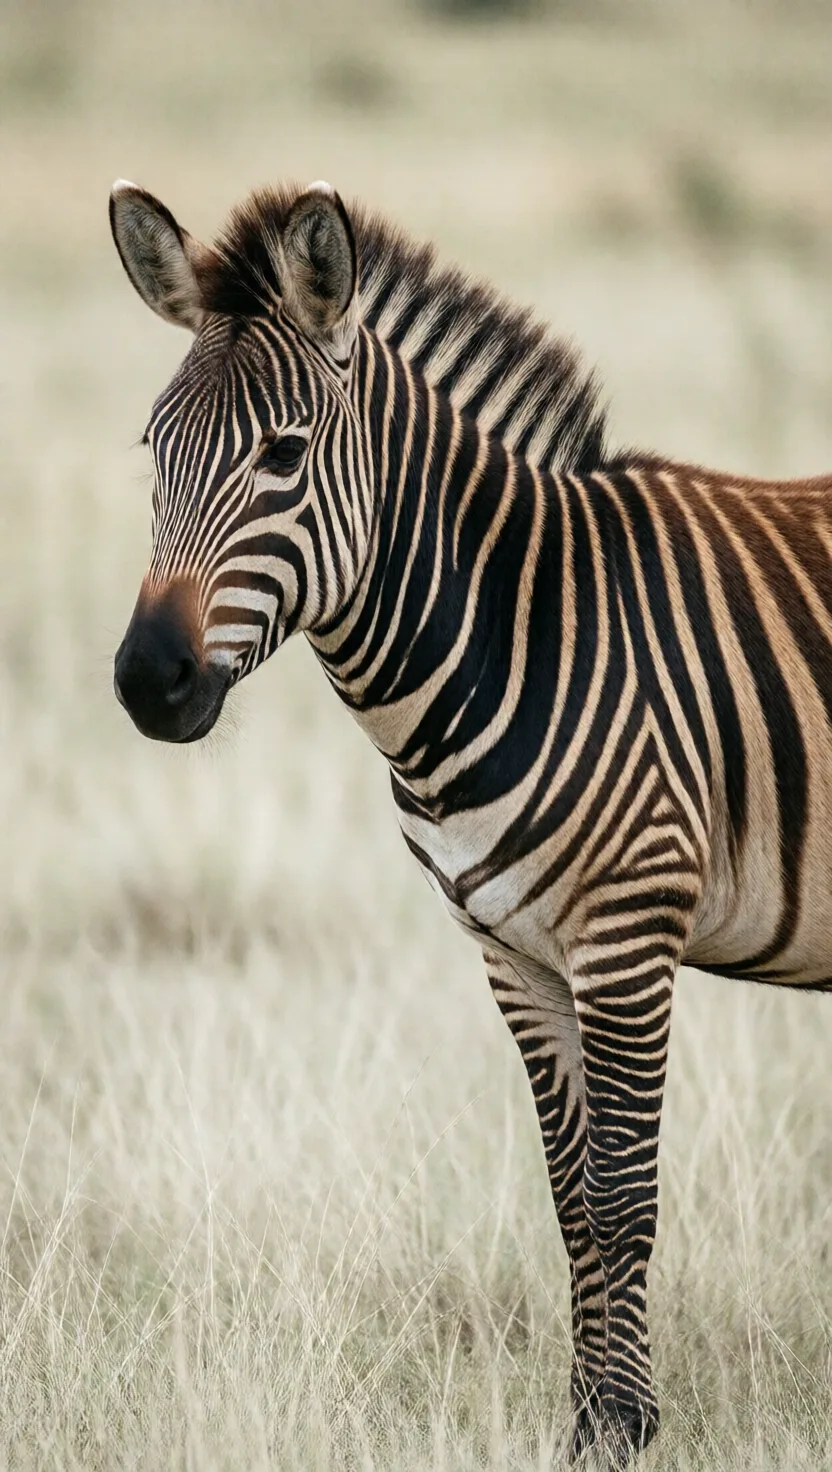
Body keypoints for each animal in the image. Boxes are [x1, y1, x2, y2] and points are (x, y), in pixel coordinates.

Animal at [109, 176, 832, 1466]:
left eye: (284, 454)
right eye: (155, 448)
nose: (149, 680)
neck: (512, 628)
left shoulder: (627, 935)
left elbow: (622, 1191)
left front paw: (623, 1429)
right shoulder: (513, 952)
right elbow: (570, 1196)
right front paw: (590, 1421)